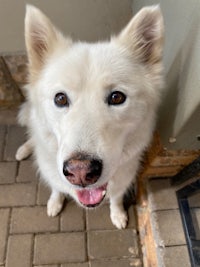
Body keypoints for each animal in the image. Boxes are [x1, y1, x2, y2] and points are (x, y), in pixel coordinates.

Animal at [15, 5, 162, 229]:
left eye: (117, 97)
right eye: (60, 98)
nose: (80, 173)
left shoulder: (123, 180)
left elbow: (116, 198)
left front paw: (118, 214)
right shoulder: (53, 174)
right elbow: (57, 189)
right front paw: (54, 203)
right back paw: (23, 150)